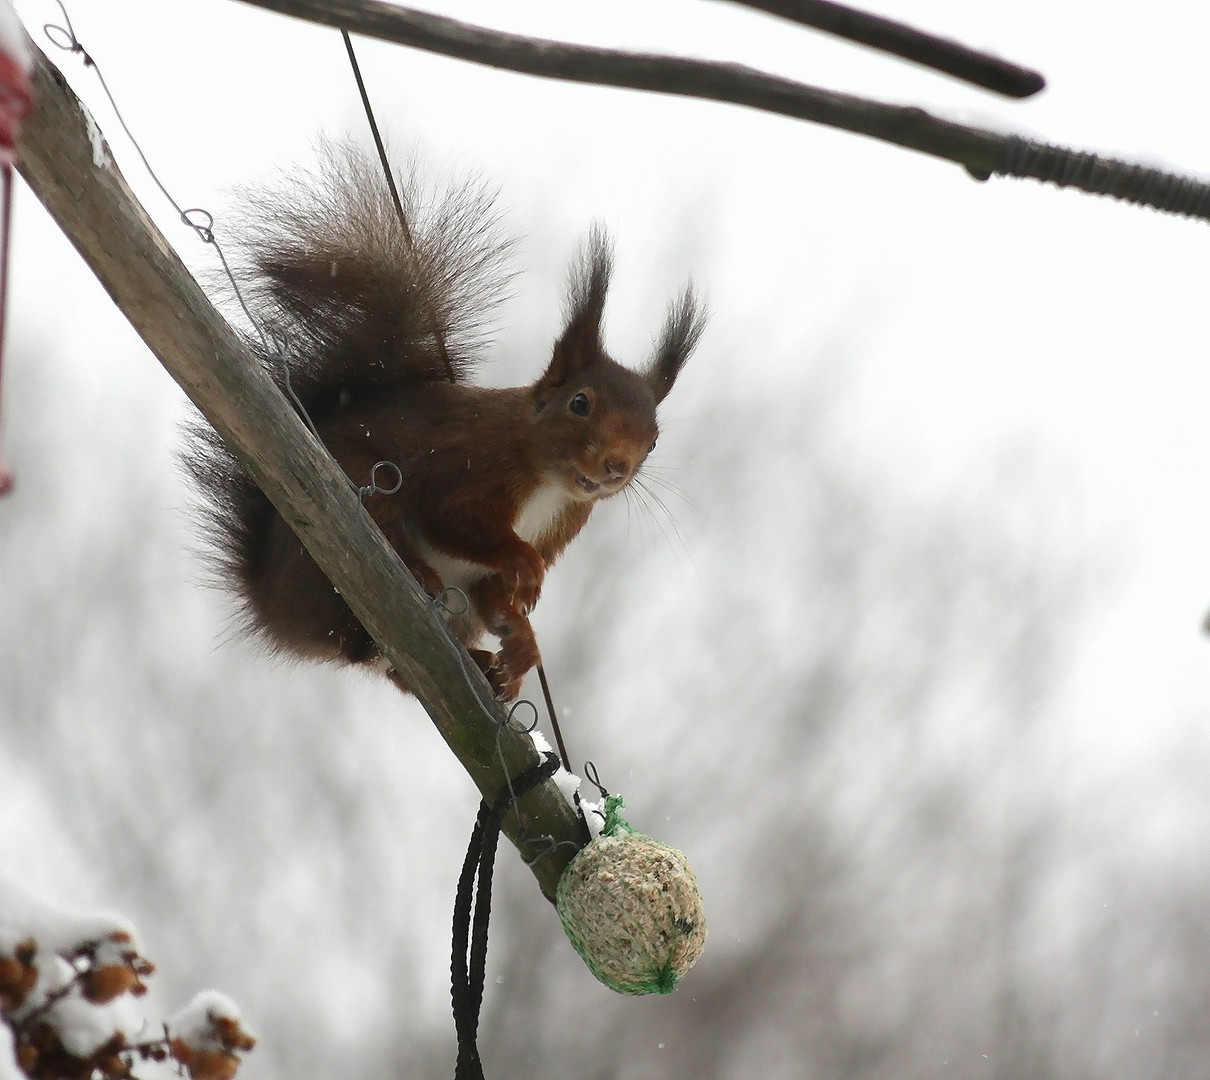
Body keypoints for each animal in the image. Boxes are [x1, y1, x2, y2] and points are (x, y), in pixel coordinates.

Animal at [185, 145, 706, 701]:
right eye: (580, 404)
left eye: (653, 443)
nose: (615, 467)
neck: (547, 482)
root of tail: (271, 610)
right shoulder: (471, 460)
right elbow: (451, 515)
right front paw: (524, 562)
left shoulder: (558, 525)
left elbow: (494, 594)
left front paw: (524, 641)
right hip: (358, 501)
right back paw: (417, 578)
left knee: (392, 664)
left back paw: (481, 662)